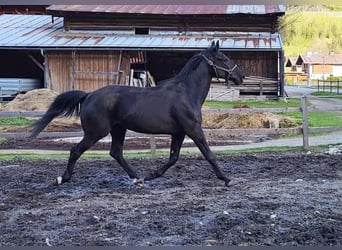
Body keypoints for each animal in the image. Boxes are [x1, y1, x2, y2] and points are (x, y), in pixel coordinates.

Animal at [29, 40, 243, 186]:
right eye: (223, 58)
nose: (240, 76)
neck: (186, 93)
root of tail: (89, 95)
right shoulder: (193, 130)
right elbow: (209, 154)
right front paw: (227, 179)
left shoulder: (179, 132)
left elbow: (173, 158)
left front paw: (151, 175)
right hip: (95, 132)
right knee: (76, 151)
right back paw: (62, 179)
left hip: (118, 129)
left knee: (116, 152)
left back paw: (137, 178)